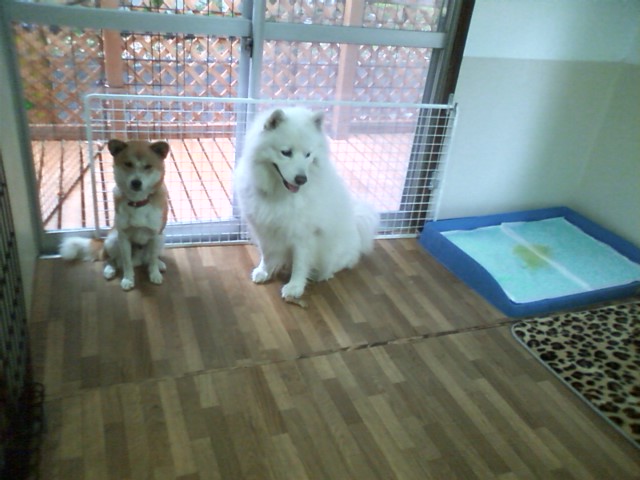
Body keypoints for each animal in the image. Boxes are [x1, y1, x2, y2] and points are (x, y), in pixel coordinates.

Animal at [59, 139, 170, 291]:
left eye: (148, 166)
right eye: (128, 164)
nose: (136, 182)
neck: (137, 202)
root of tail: (138, 260)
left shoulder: (155, 235)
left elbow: (152, 259)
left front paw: (154, 273)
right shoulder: (123, 237)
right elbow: (126, 262)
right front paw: (128, 279)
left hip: (161, 239)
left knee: (149, 258)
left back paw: (159, 264)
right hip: (112, 240)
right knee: (112, 260)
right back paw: (109, 270)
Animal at [234, 106, 379, 303]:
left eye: (308, 155)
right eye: (286, 152)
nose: (302, 179)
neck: (280, 193)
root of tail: (357, 227)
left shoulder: (303, 235)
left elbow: (300, 263)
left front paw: (295, 287)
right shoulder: (264, 228)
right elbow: (267, 253)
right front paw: (264, 271)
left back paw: (323, 273)